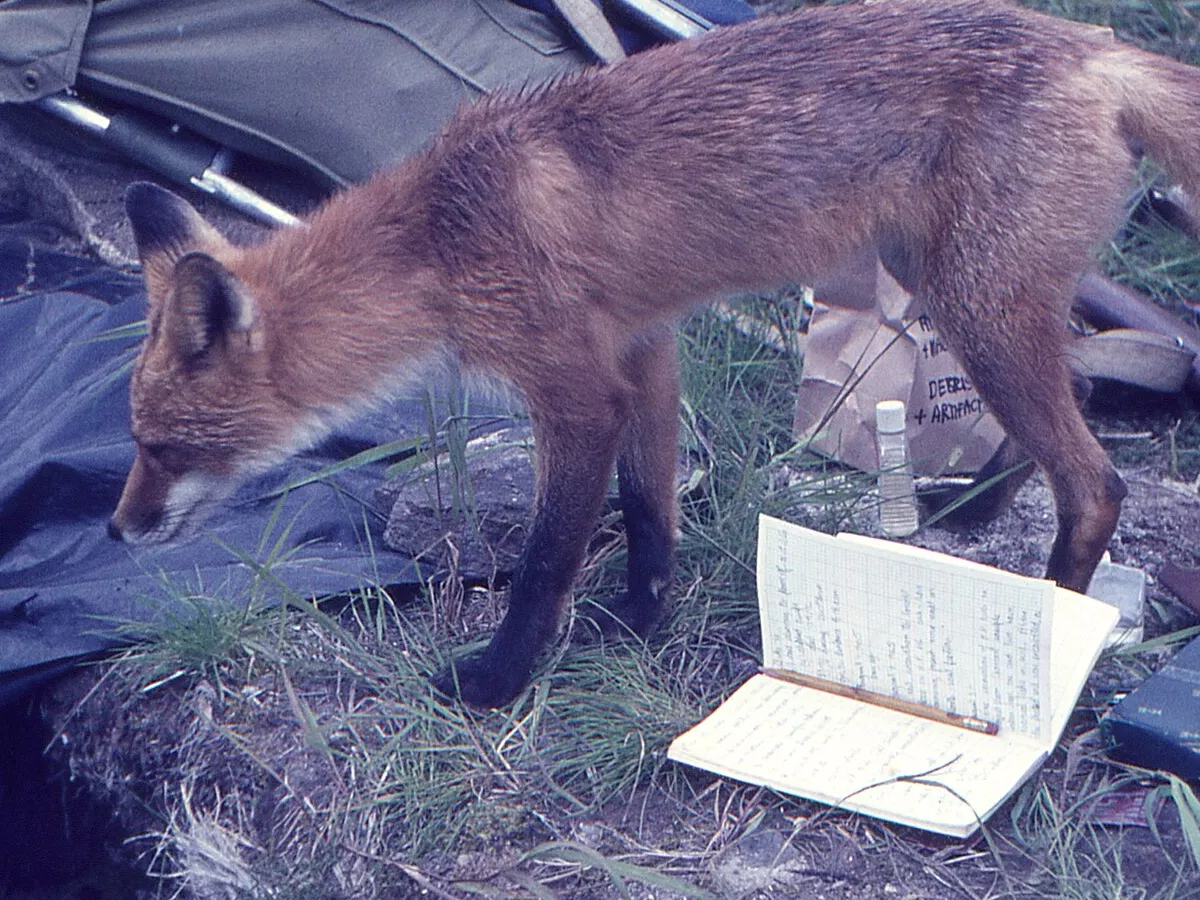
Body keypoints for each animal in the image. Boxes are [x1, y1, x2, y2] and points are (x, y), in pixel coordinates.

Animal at [110, 0, 1200, 708]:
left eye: (161, 447)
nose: (118, 532)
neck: (443, 234)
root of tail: (1096, 48)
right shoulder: (645, 344)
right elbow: (647, 508)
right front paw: (639, 620)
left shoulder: (573, 387)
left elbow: (546, 559)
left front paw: (498, 681)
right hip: (957, 294)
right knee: (1068, 403)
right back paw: (977, 507)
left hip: (976, 309)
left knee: (1096, 481)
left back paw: (1050, 624)